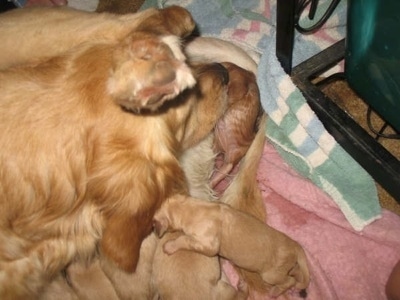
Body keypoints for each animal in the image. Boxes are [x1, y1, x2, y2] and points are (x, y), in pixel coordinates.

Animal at [153, 195, 310, 298]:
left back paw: (275, 291)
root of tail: (295, 245)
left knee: (290, 281)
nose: (154, 231)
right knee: (297, 273)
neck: (193, 208)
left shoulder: (209, 245)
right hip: (286, 267)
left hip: (270, 275)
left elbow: (185, 239)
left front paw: (170, 246)